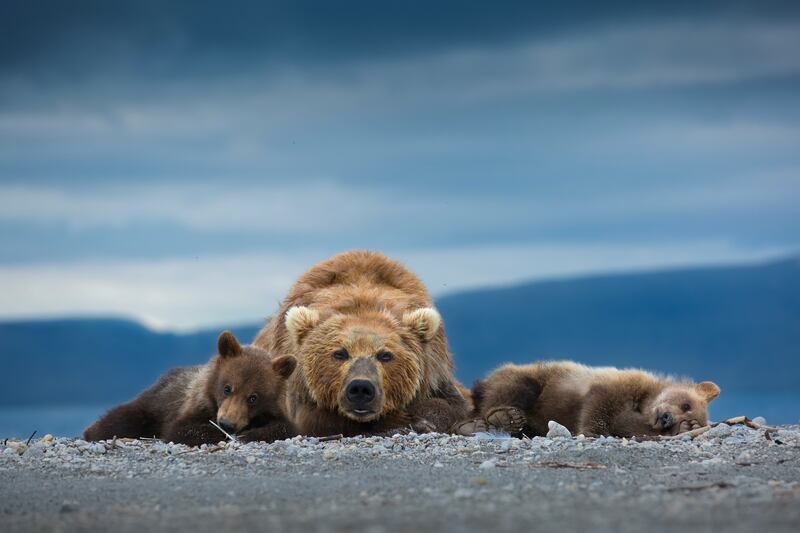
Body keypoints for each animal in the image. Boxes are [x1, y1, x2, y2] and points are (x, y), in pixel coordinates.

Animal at [83, 332, 298, 444]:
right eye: (227, 388)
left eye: (253, 397)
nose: (227, 423)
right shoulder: (193, 404)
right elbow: (181, 429)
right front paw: (219, 432)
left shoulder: (279, 411)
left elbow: (285, 428)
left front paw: (250, 433)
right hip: (150, 405)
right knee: (120, 420)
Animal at [253, 249, 472, 436]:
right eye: (340, 353)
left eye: (385, 355)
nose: (360, 388)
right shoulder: (297, 385)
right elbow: (314, 418)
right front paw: (403, 423)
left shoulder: (435, 372)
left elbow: (449, 405)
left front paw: (422, 420)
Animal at [454, 362, 720, 436]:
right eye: (686, 404)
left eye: (688, 412)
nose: (666, 418)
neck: (644, 404)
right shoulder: (617, 386)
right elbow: (597, 406)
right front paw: (591, 431)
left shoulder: (633, 417)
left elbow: (627, 426)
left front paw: (682, 429)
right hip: (533, 377)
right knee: (513, 389)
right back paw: (501, 417)